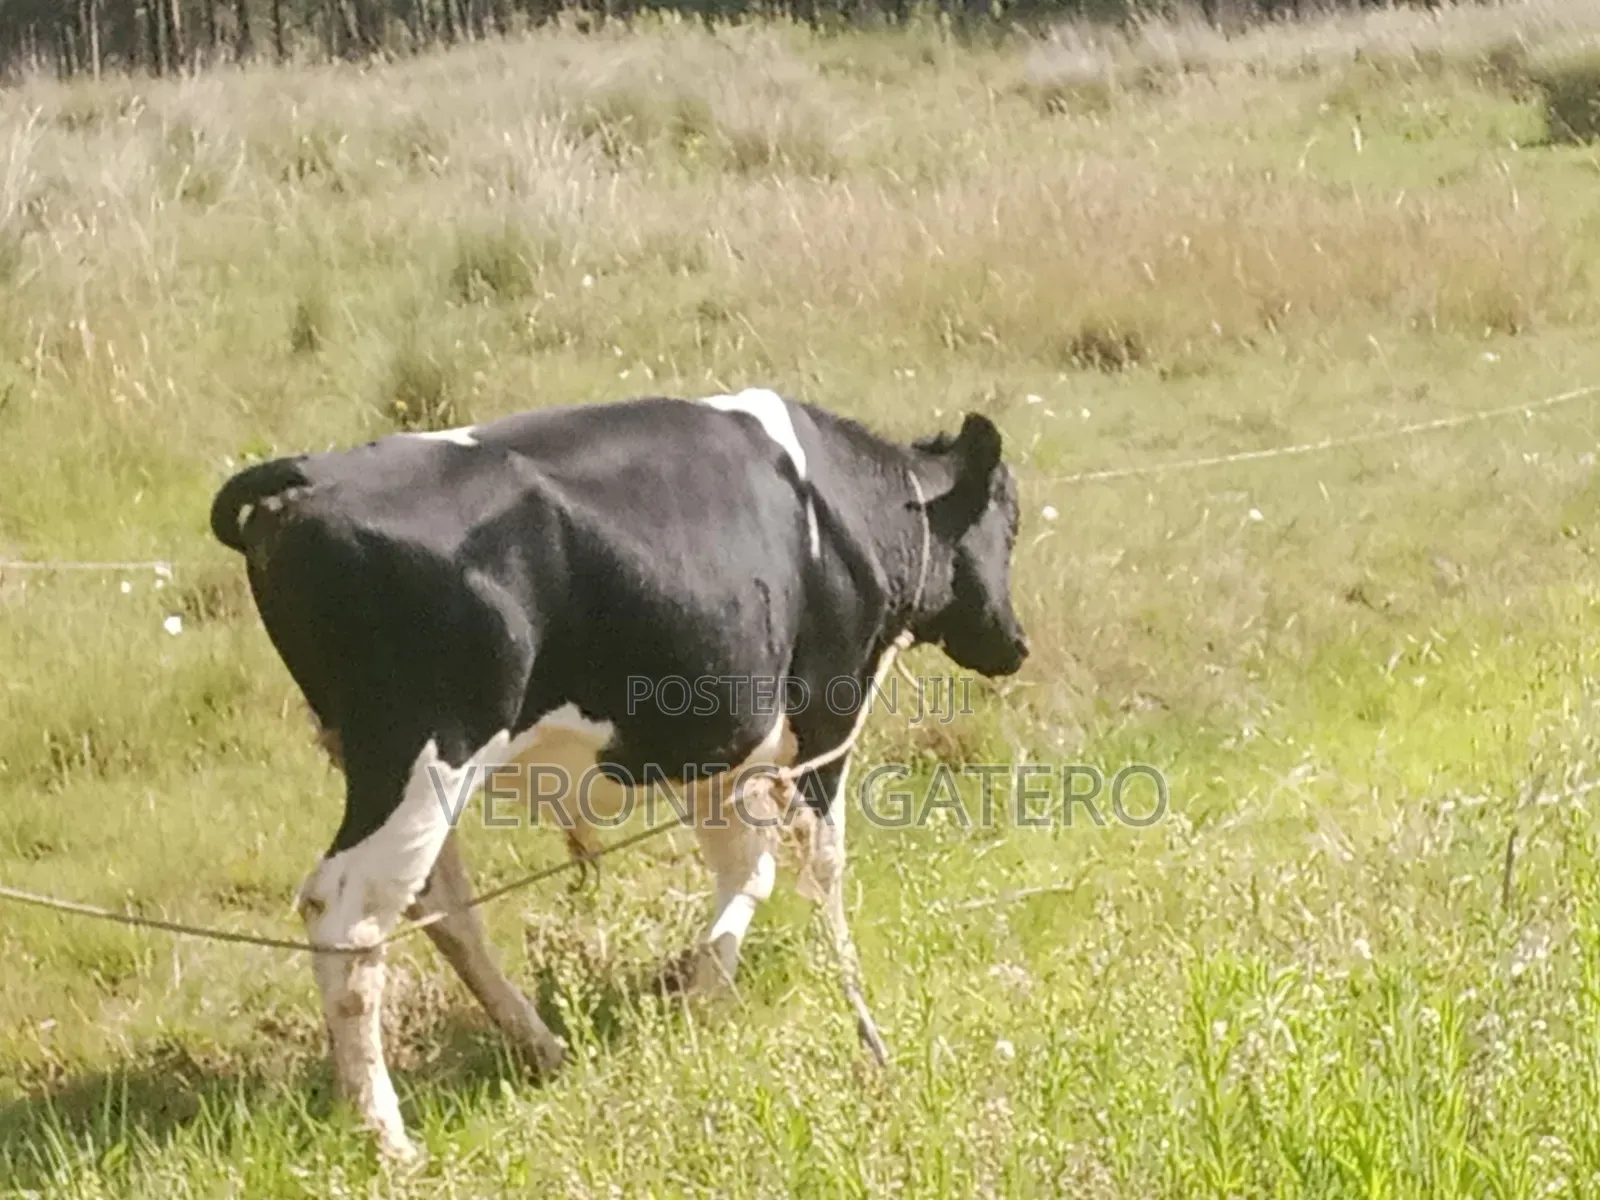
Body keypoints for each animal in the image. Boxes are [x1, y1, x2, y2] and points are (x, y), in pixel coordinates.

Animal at [209, 388, 1029, 1158]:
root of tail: (311, 474)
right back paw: (386, 1133)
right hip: (423, 748)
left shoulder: (720, 745)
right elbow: (821, 869)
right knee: (347, 917)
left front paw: (701, 998)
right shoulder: (827, 715)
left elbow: (748, 872)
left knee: (437, 902)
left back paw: (537, 1045)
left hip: (402, 768)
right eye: (1010, 522)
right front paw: (863, 1024)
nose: (1015, 644)